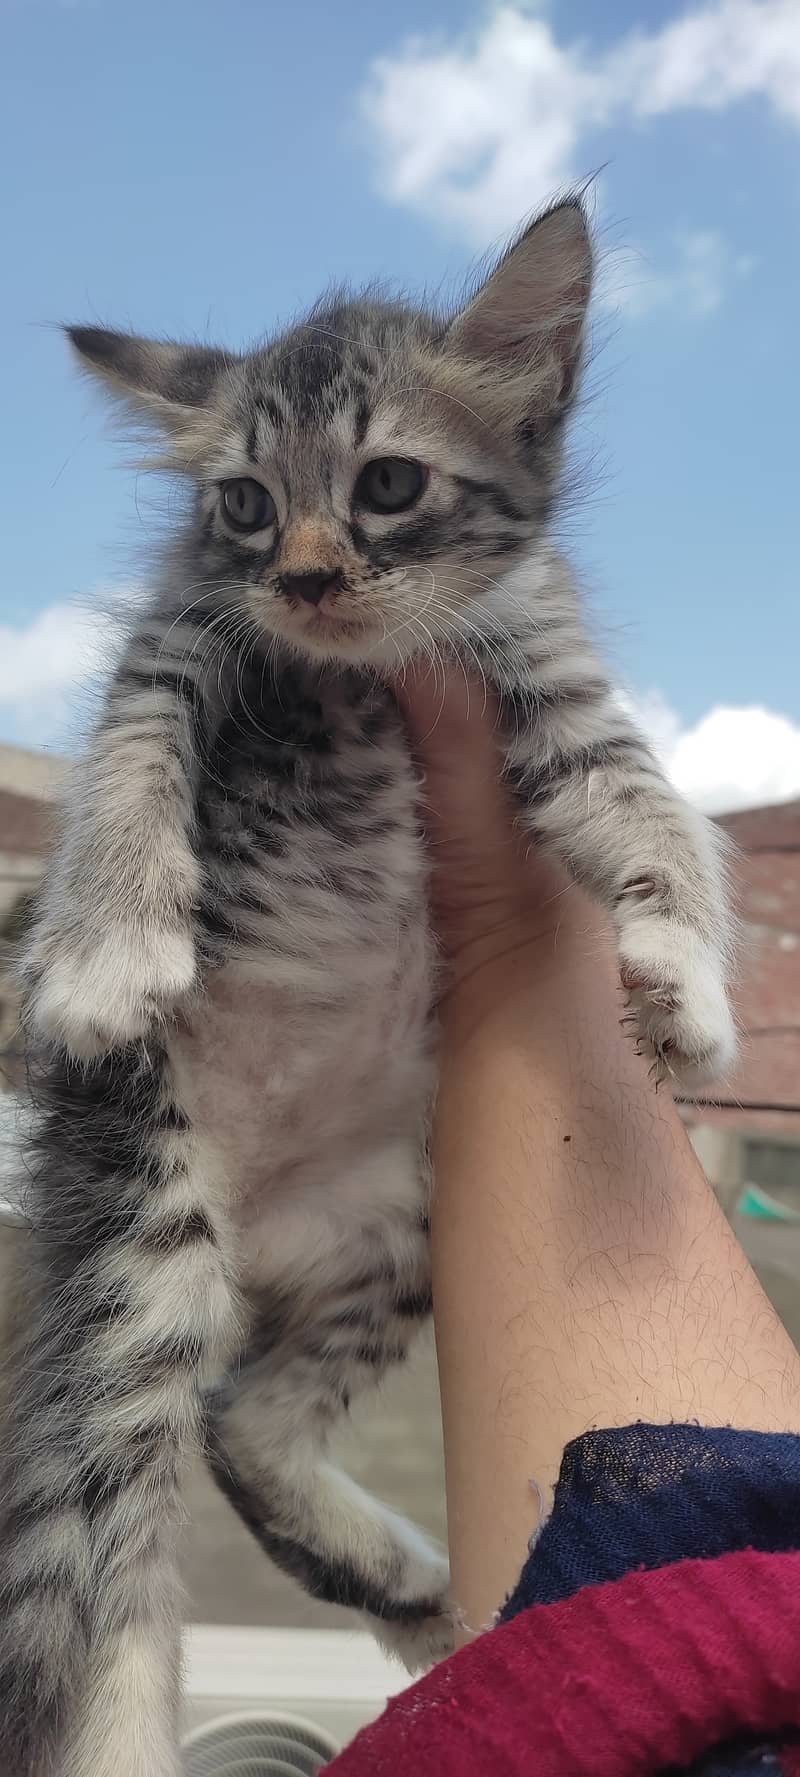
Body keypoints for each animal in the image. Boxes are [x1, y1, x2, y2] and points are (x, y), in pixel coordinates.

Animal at [0, 198, 736, 1777]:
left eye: (387, 483)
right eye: (242, 505)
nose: (307, 576)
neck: (353, 674)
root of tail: (253, 1220)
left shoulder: (544, 676)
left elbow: (647, 806)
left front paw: (686, 982)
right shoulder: (182, 635)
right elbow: (128, 764)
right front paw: (98, 950)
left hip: (400, 1226)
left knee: (242, 1428)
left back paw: (406, 1587)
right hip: (145, 1233)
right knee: (109, 1540)